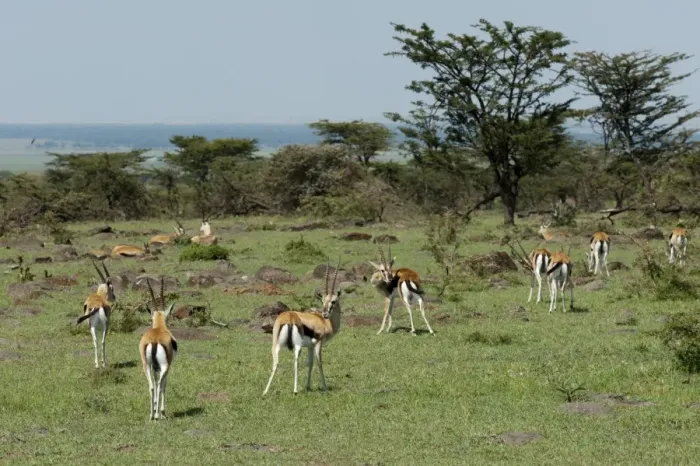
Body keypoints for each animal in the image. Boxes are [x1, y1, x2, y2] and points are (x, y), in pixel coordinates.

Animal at [138, 277, 178, 420]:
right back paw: (158, 415)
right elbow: (163, 385)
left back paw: (151, 415)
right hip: (164, 366)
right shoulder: (167, 367)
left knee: (151, 386)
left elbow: (154, 383)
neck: (159, 328)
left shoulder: (154, 368)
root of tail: (154, 341)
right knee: (160, 385)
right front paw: (162, 411)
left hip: (146, 365)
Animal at [263, 257, 343, 396]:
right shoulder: (318, 344)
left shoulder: (310, 346)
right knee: (295, 362)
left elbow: (310, 363)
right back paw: (295, 390)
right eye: (323, 301)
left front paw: (308, 386)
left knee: (275, 363)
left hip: (276, 345)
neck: (324, 322)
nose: (325, 313)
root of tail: (289, 317)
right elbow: (319, 363)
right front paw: (324, 387)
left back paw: (265, 391)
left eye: (333, 301)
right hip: (297, 346)